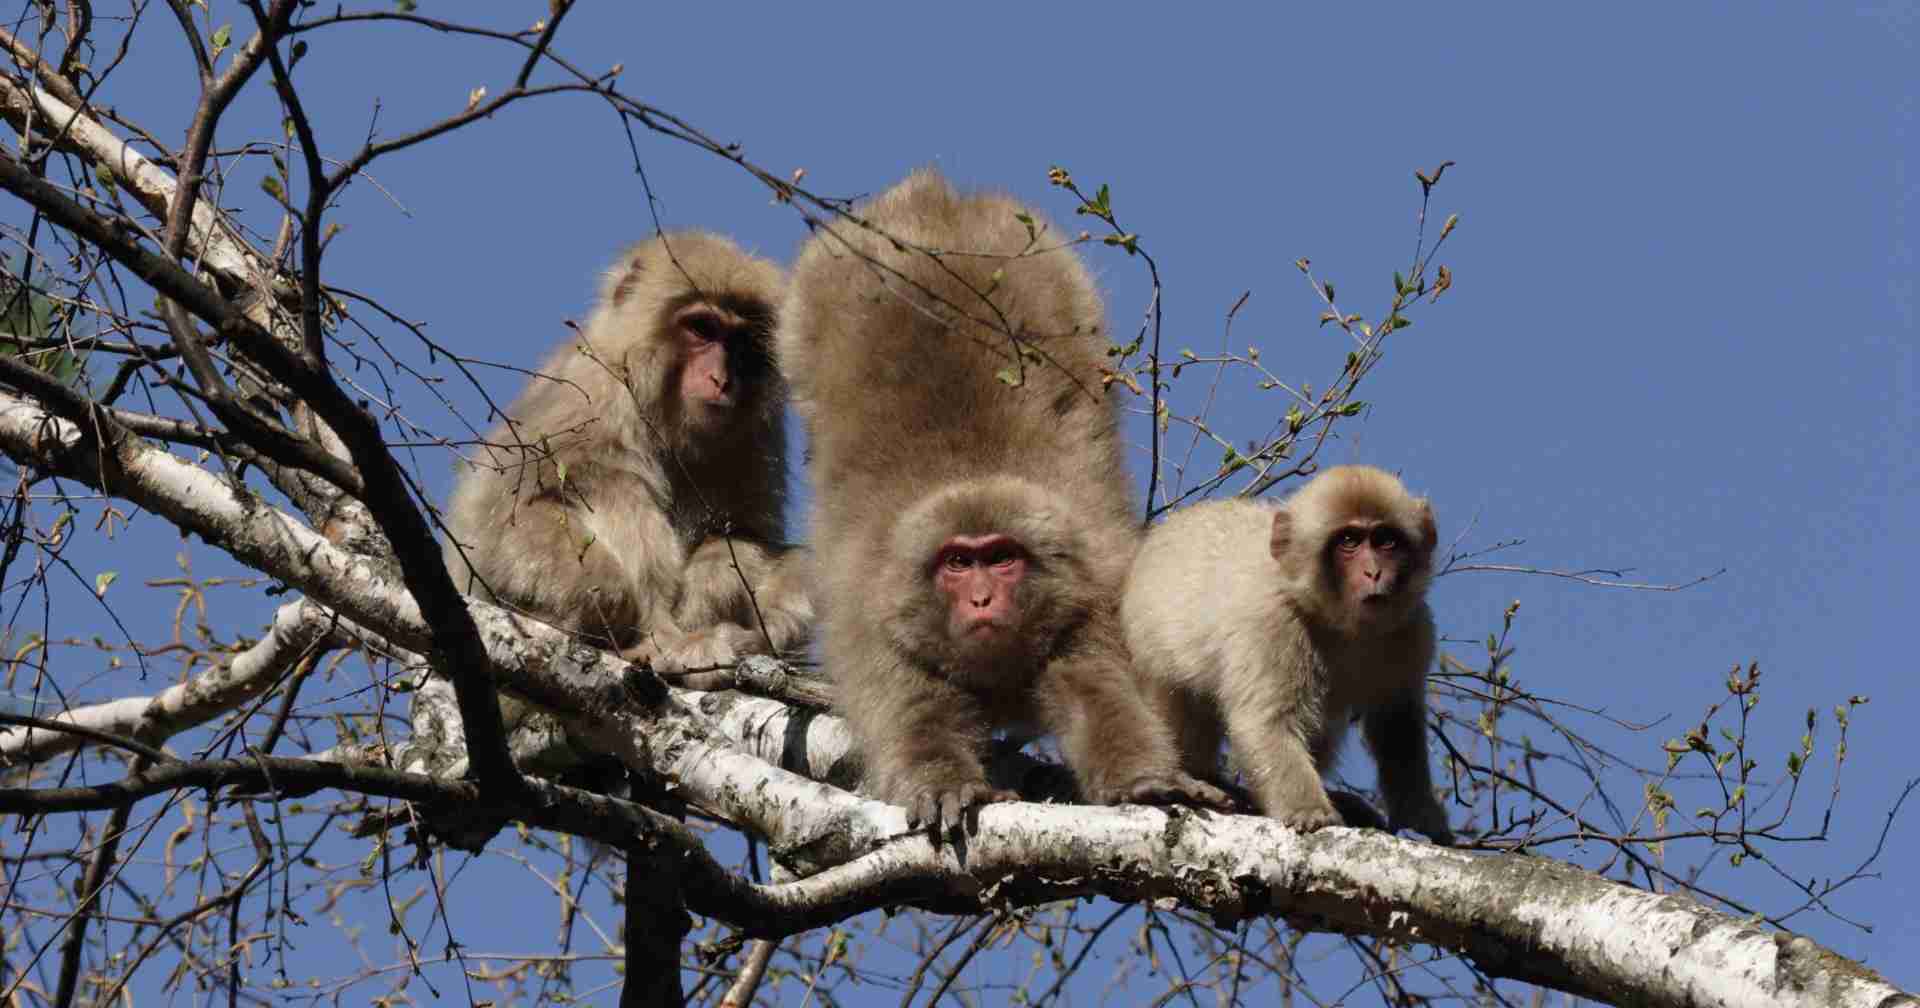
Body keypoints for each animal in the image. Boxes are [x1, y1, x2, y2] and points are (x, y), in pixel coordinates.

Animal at [442, 231, 812, 681]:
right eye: (702, 328)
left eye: (741, 344)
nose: (722, 380)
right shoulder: (589, 389)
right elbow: (500, 518)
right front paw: (611, 598)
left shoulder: (758, 430)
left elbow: (746, 533)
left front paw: (714, 590)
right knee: (613, 486)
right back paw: (658, 639)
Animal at [777, 169, 1232, 831]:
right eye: (957, 562)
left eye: (1001, 557)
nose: (983, 598)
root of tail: (933, 198)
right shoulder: (877, 622)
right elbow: (913, 716)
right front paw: (944, 781)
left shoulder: (1089, 594)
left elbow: (1097, 691)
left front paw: (1142, 781)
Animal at [1122, 465, 1454, 844]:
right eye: (1349, 541)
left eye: (1385, 541)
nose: (1374, 572)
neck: (1344, 625)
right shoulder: (1273, 624)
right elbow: (1266, 722)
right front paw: (1309, 810)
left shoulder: (1412, 628)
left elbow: (1397, 722)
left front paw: (1419, 818)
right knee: (1178, 688)